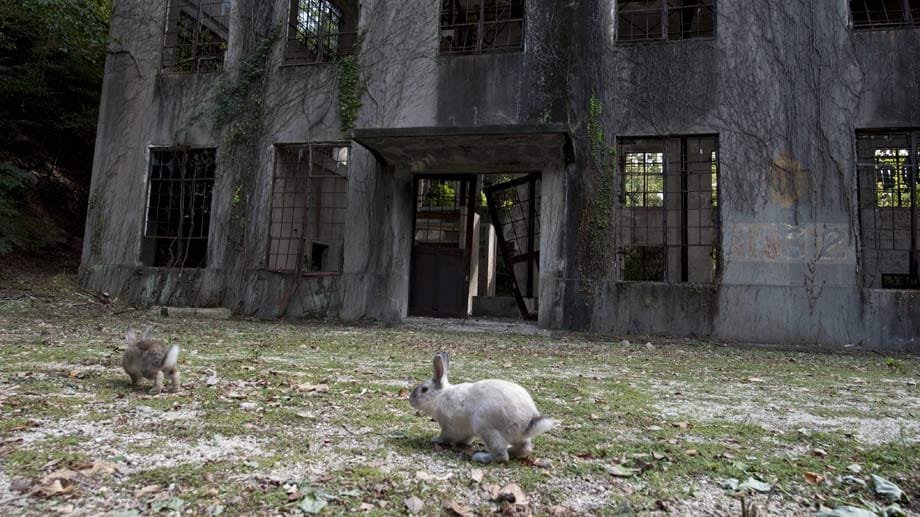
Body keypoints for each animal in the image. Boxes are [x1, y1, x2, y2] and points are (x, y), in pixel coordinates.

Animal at [410, 350, 552, 464]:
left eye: (424, 389)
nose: (410, 399)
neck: (440, 396)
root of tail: (528, 422)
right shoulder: (465, 431)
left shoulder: (449, 427)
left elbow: (445, 437)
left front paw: (435, 439)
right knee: (524, 449)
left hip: (486, 428)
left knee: (502, 456)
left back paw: (480, 457)